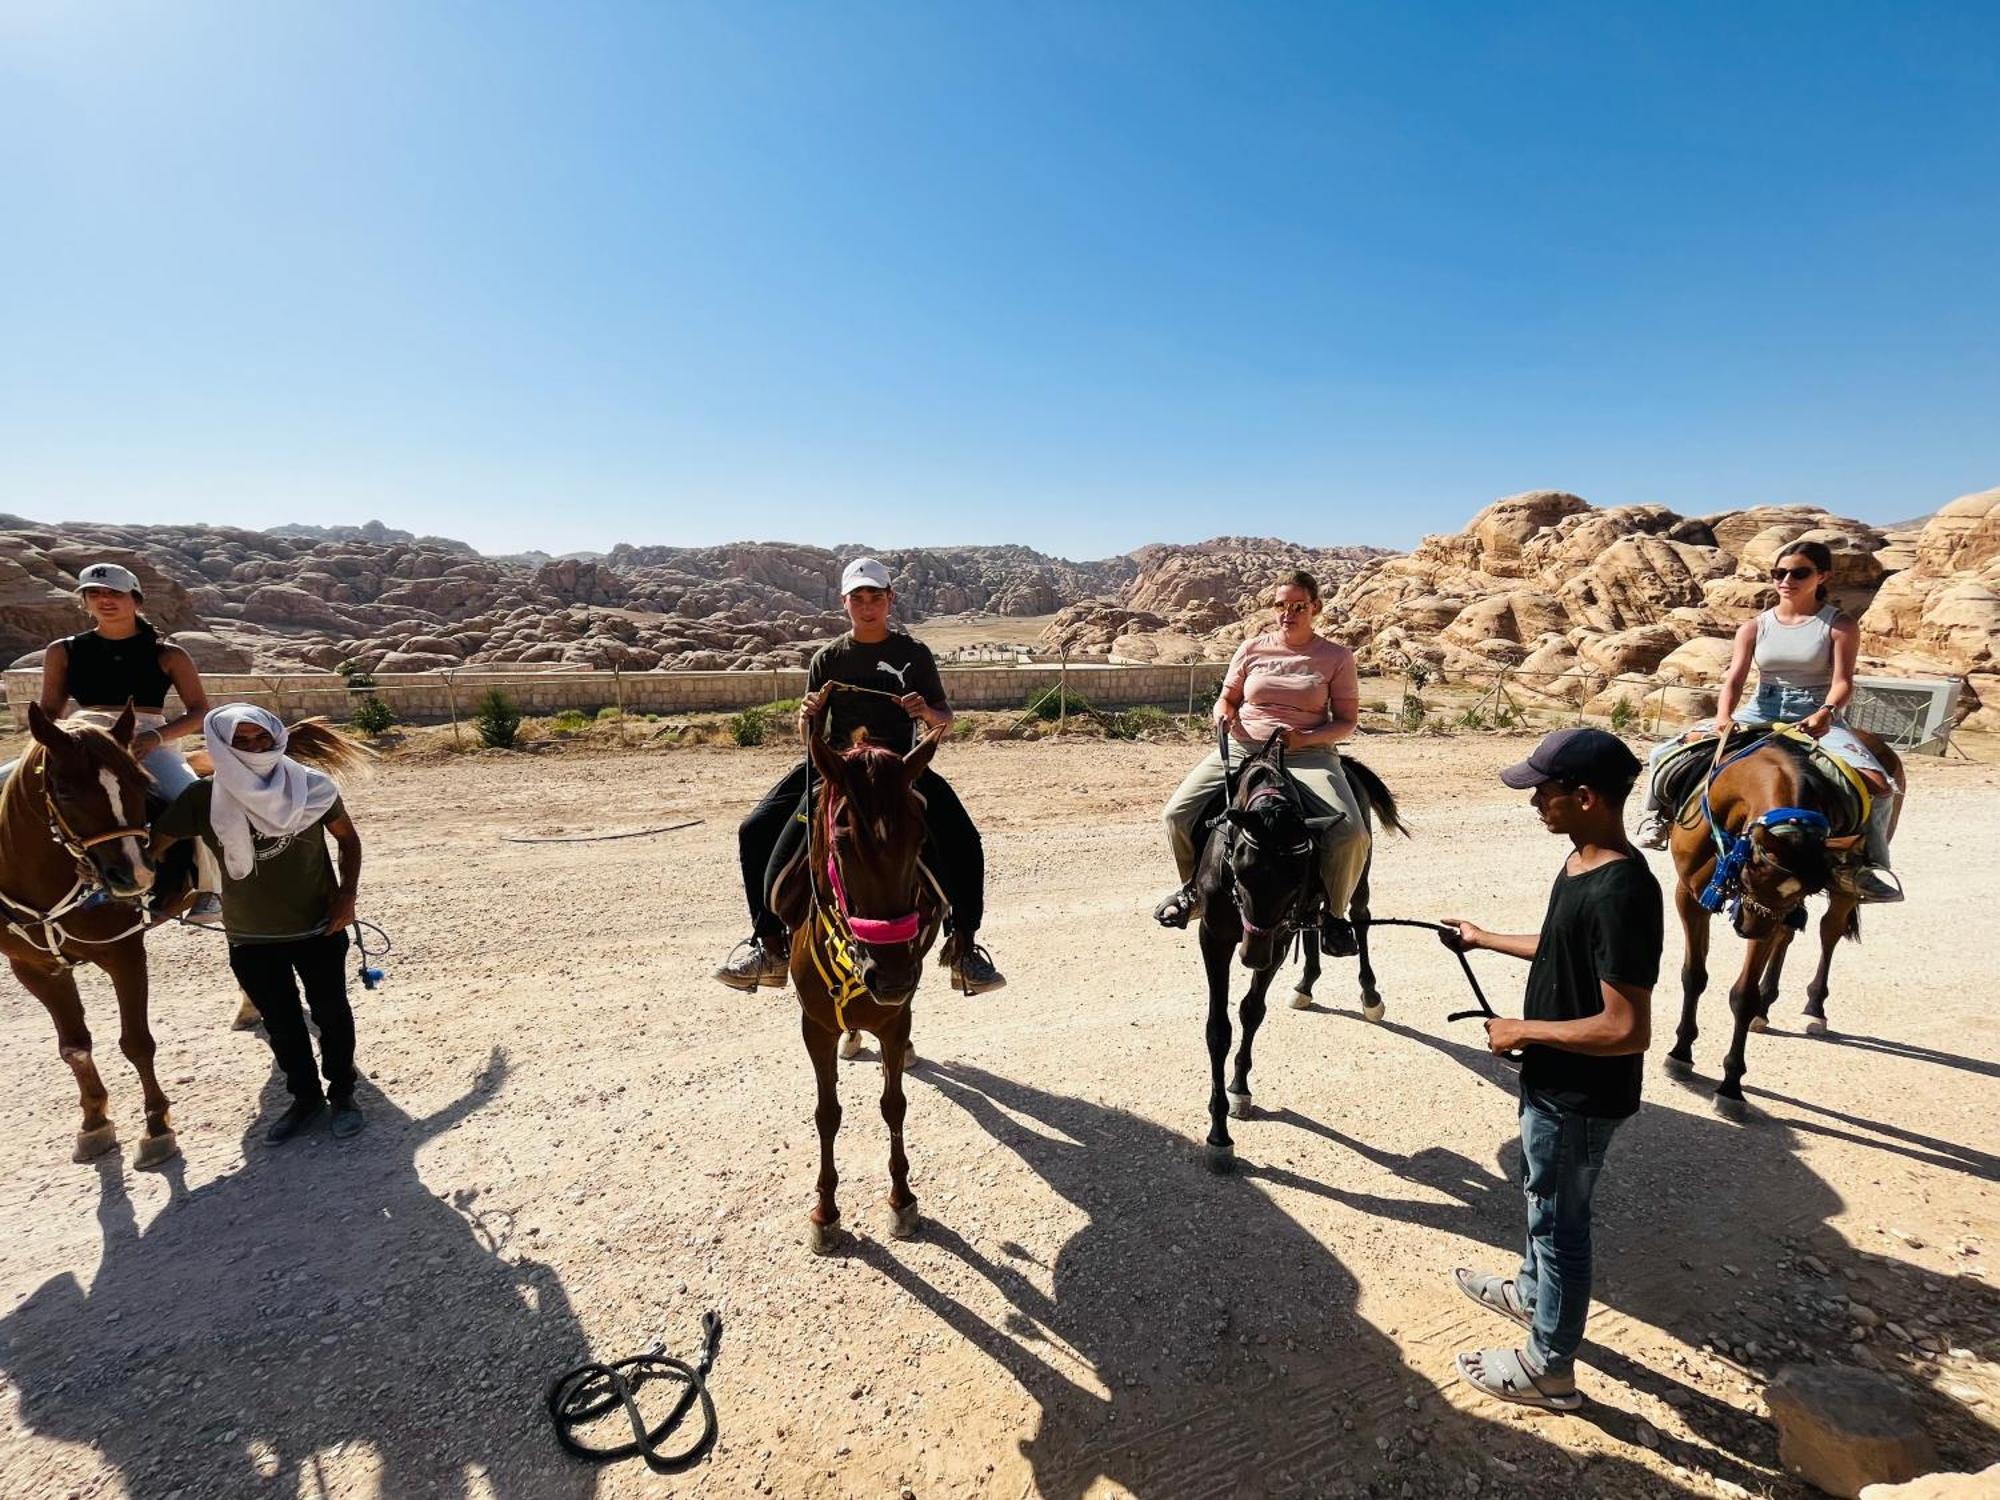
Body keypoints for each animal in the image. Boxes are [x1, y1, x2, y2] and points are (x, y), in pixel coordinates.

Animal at [788, 712, 944, 1248]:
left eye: (922, 837)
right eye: (841, 841)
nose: (892, 976)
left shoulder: (895, 1019)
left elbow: (894, 1104)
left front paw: (902, 1200)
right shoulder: (814, 1026)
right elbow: (826, 1113)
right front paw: (825, 1212)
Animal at [1200, 736, 1408, 1176]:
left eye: (1297, 875)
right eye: (1239, 864)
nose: (1252, 956)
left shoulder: (1278, 936)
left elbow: (1250, 1011)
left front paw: (1239, 1090)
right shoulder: (1215, 937)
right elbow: (1218, 1029)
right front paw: (1219, 1133)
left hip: (1358, 873)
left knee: (1360, 917)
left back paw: (1370, 996)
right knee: (1314, 930)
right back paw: (1305, 984)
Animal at [1656, 724, 1904, 1120]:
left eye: (1805, 886)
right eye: (1751, 871)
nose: (1748, 928)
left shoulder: (1773, 913)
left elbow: (1743, 996)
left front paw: (1731, 1087)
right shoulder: (1690, 897)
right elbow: (1694, 976)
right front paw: (1680, 1054)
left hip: (1843, 888)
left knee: (1827, 934)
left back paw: (1814, 1009)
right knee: (1787, 937)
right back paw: (1767, 1006)